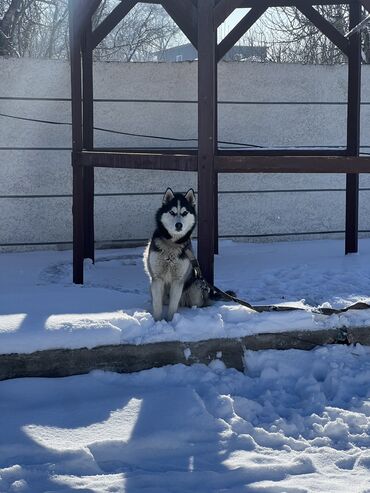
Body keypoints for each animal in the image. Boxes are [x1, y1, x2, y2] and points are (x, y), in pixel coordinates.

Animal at [143, 186, 211, 320]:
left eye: (184, 213)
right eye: (172, 212)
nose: (178, 225)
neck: (172, 244)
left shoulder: (178, 281)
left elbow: (173, 305)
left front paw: (170, 321)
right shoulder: (157, 278)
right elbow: (157, 305)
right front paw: (158, 321)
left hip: (197, 287)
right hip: (152, 287)